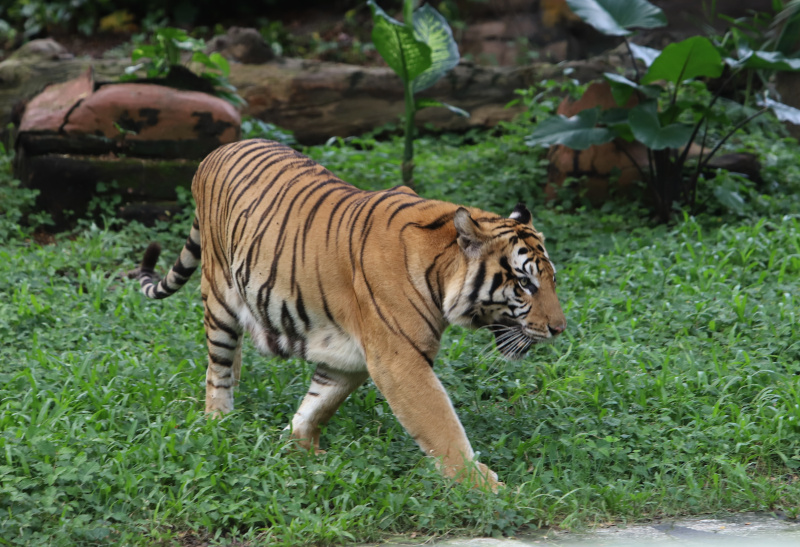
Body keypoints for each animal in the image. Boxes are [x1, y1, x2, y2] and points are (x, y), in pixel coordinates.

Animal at [131, 139, 564, 490]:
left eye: (551, 279)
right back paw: (219, 421)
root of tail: (216, 152)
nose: (559, 329)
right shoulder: (399, 359)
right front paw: (488, 489)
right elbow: (442, 425)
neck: (440, 268)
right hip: (219, 291)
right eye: (525, 283)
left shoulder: (351, 354)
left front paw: (301, 447)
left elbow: (319, 402)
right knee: (216, 367)